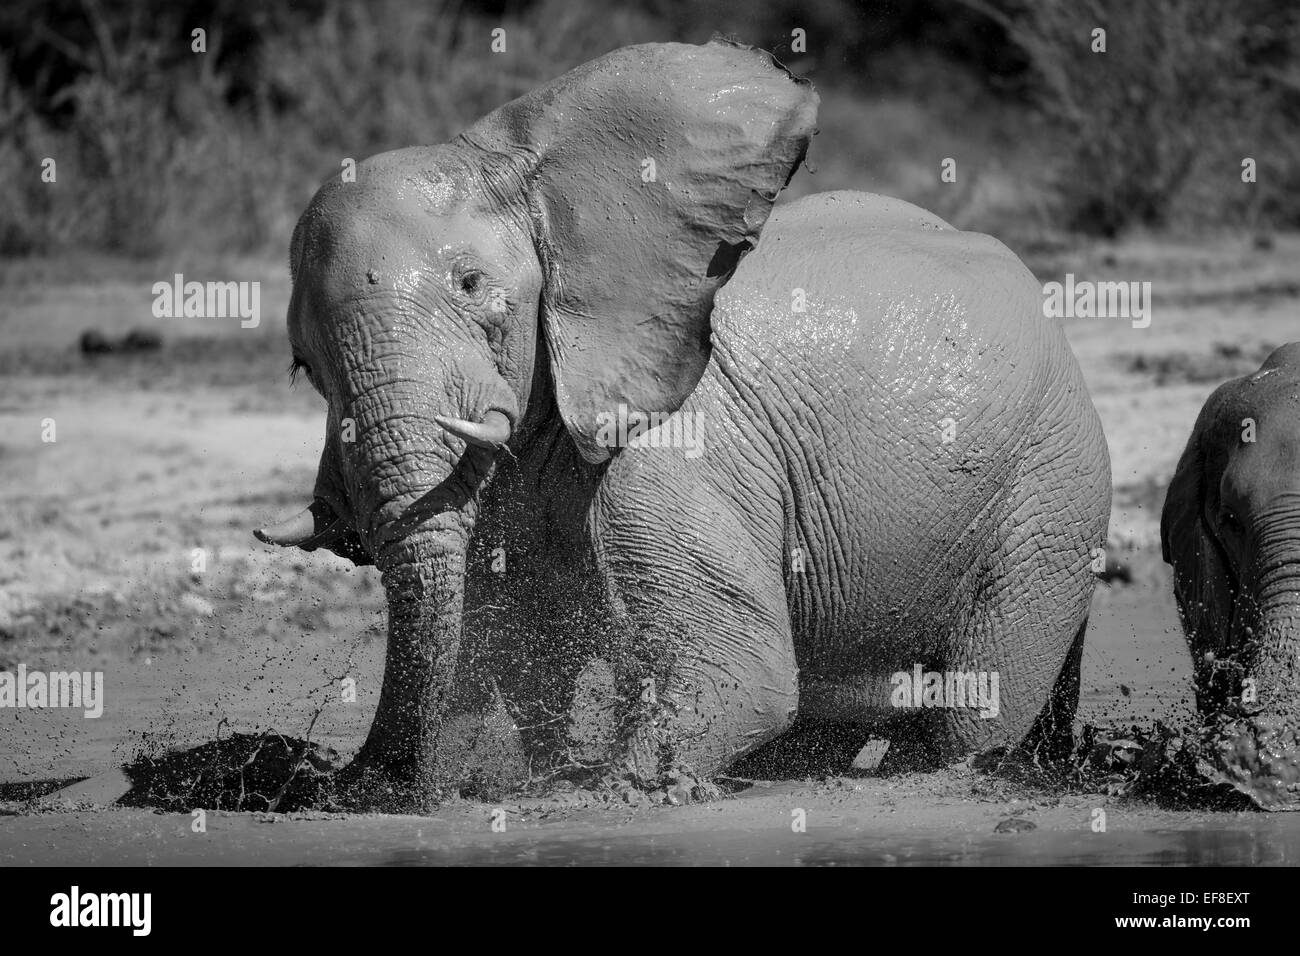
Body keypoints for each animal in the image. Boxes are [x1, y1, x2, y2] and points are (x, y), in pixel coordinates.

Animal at [258, 39, 1112, 806]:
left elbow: (744, 674)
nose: (357, 784)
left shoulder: (676, 449)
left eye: (473, 287)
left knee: (979, 702)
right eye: (303, 364)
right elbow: (509, 648)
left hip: (1048, 490)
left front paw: (594, 793)